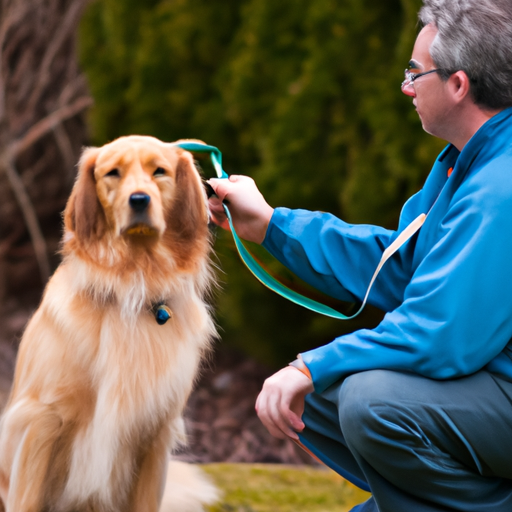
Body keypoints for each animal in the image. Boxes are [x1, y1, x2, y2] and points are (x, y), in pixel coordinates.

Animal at [0, 136, 219, 512]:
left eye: (159, 171)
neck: (132, 285)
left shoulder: (156, 431)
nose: (139, 199)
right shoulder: (41, 419)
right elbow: (27, 500)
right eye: (112, 173)